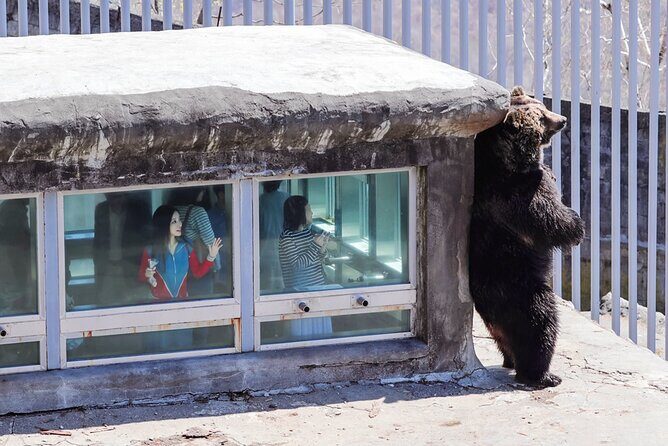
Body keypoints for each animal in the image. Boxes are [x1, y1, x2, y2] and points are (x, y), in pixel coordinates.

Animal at [469, 86, 585, 388]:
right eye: (542, 116)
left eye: (542, 105)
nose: (563, 119)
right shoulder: (516, 194)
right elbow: (550, 220)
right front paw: (577, 225)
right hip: (517, 287)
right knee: (540, 323)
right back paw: (543, 374)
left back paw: (511, 360)